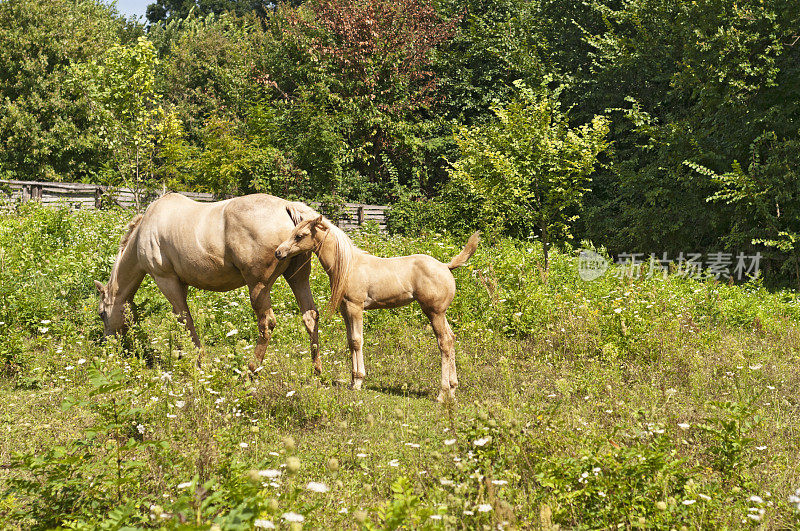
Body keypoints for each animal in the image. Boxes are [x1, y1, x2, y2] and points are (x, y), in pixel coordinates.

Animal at [276, 214, 478, 402]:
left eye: (300, 235)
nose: (279, 252)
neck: (349, 265)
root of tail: (446, 266)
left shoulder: (355, 308)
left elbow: (357, 341)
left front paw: (358, 381)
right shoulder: (345, 310)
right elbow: (350, 341)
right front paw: (352, 381)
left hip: (434, 312)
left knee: (444, 342)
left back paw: (442, 393)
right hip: (441, 314)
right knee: (451, 339)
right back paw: (452, 389)